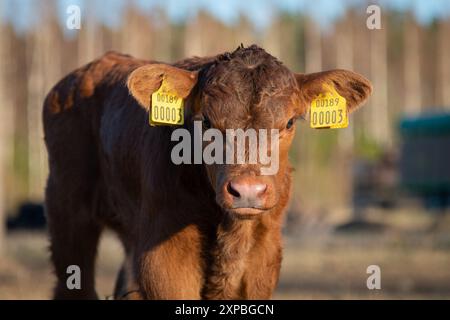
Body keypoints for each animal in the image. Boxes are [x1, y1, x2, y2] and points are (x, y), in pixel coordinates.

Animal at [43, 45, 372, 300]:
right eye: (207, 121)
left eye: (290, 122)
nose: (248, 191)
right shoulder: (164, 256)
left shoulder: (264, 257)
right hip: (67, 210)